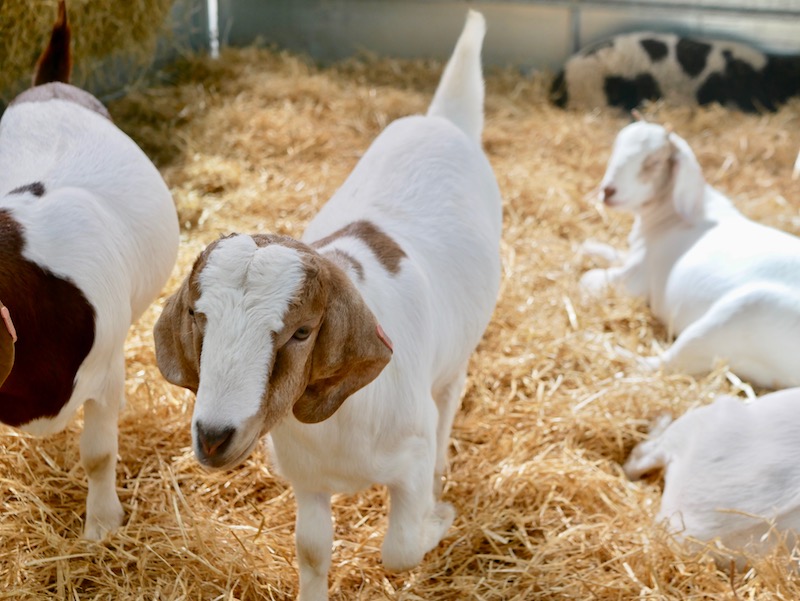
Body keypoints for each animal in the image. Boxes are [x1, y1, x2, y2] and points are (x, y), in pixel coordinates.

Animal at [153, 10, 501, 601]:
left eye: (301, 332)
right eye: (199, 317)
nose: (214, 437)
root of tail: (440, 123)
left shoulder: (408, 460)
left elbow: (400, 550)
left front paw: (439, 520)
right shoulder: (307, 480)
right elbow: (313, 552)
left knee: (452, 393)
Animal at [580, 119, 800, 389]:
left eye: (654, 161)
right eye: (615, 149)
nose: (608, 191)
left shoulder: (638, 278)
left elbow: (589, 280)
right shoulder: (634, 255)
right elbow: (607, 252)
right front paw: (586, 249)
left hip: (736, 318)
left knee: (662, 364)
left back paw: (604, 345)